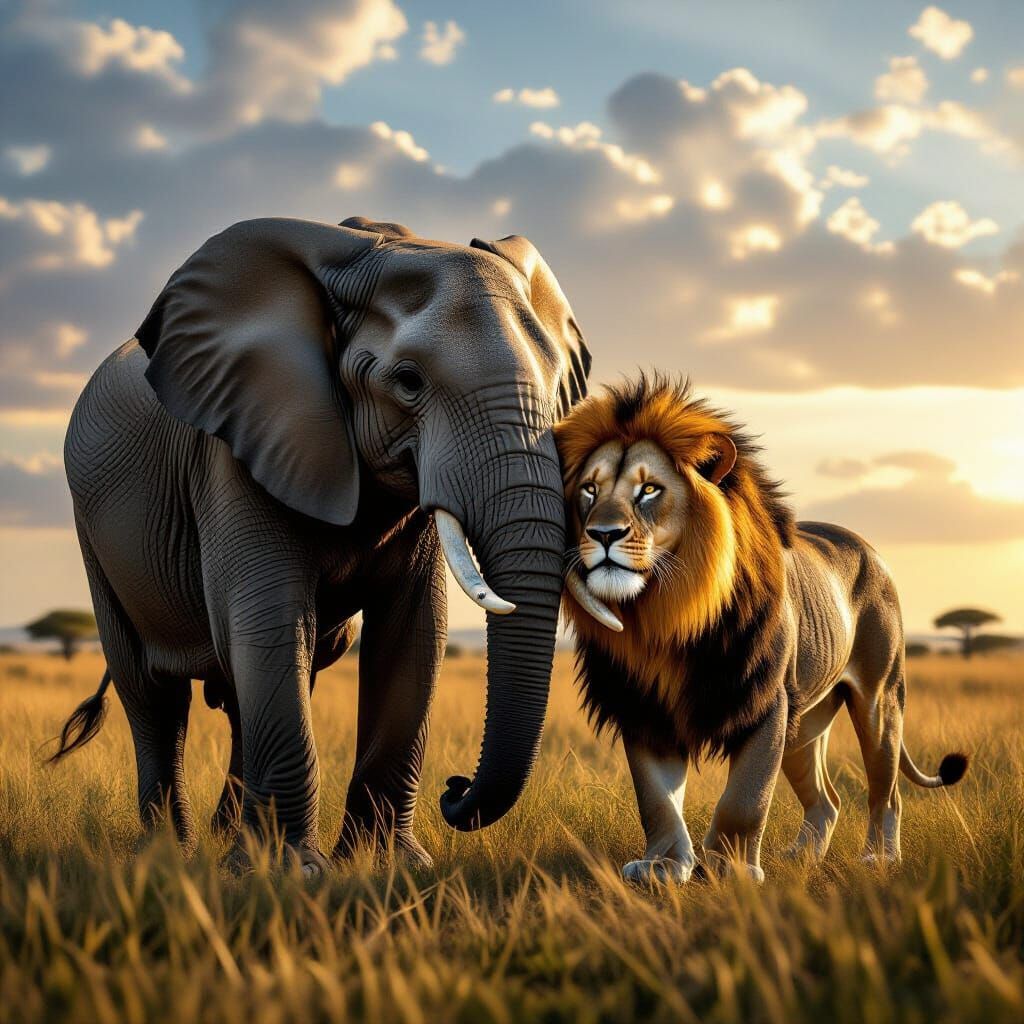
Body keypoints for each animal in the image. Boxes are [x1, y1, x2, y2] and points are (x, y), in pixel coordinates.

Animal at [52, 215, 590, 873]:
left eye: (557, 386)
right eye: (407, 382)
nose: (455, 789)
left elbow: (414, 633)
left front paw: (389, 868)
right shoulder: (239, 445)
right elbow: (271, 619)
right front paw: (290, 874)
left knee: (247, 689)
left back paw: (227, 840)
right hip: (93, 531)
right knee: (154, 696)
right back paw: (168, 857)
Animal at [554, 374, 968, 883]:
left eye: (648, 489)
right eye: (589, 490)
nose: (603, 534)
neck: (668, 615)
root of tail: (869, 548)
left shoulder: (766, 704)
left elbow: (745, 798)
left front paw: (730, 868)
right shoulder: (645, 705)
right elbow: (656, 800)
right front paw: (663, 866)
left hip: (879, 700)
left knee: (886, 792)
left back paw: (880, 858)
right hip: (806, 723)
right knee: (827, 800)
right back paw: (802, 857)